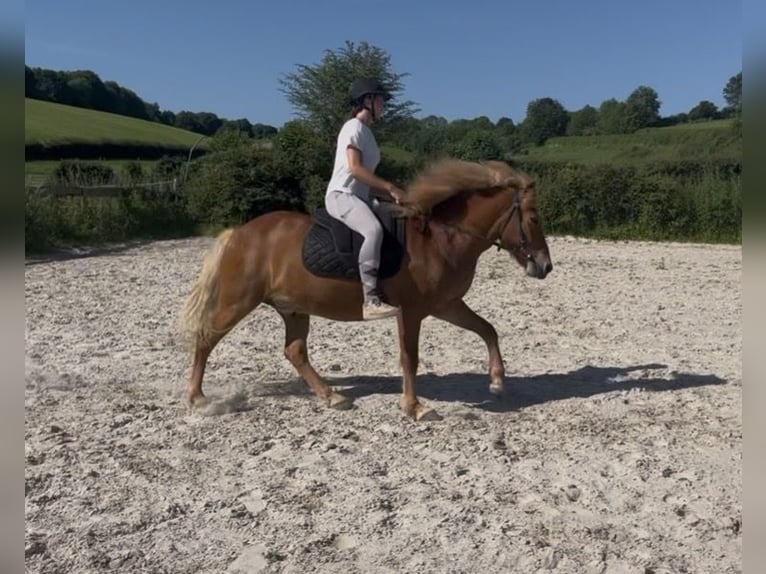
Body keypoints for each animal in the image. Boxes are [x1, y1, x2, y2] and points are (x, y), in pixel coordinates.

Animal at [179, 158, 553, 421]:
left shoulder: (446, 305)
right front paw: (415, 407)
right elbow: (410, 357)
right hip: (237, 301)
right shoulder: (412, 311)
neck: (442, 238)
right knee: (206, 338)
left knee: (295, 351)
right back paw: (197, 398)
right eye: (534, 219)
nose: (545, 266)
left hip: (294, 308)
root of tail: (240, 233)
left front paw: (497, 382)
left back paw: (331, 396)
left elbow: (488, 330)